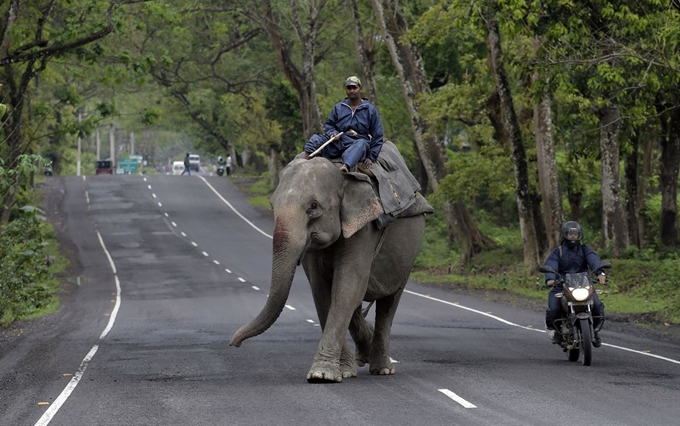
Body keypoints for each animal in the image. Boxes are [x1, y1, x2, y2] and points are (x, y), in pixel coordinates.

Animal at [231, 156, 428, 382]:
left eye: (313, 206)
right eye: (272, 205)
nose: (234, 343)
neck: (342, 175)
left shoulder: (364, 229)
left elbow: (348, 286)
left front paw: (321, 375)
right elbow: (322, 290)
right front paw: (341, 372)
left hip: (410, 253)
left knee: (389, 303)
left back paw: (382, 369)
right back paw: (365, 352)